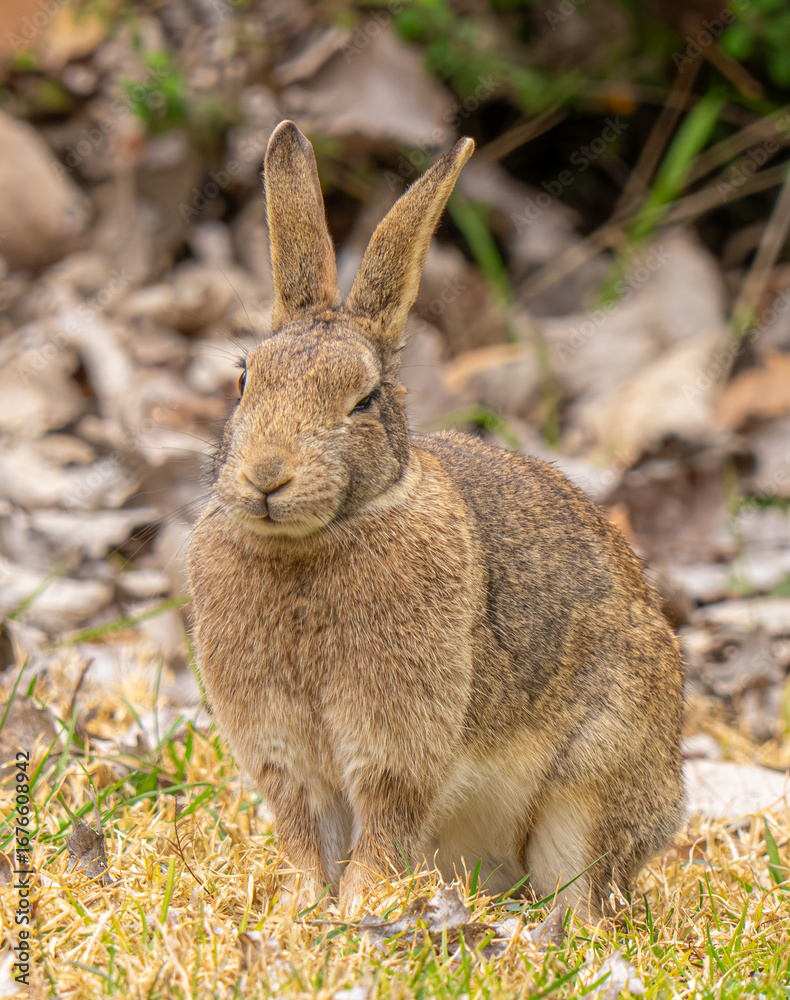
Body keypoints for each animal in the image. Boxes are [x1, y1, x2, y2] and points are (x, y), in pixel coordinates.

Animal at [187, 120, 685, 919]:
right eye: (243, 381)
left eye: (362, 401)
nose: (266, 476)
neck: (314, 540)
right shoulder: (282, 754)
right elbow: (303, 833)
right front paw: (300, 913)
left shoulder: (398, 741)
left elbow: (384, 824)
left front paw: (358, 910)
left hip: (591, 787)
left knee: (584, 888)